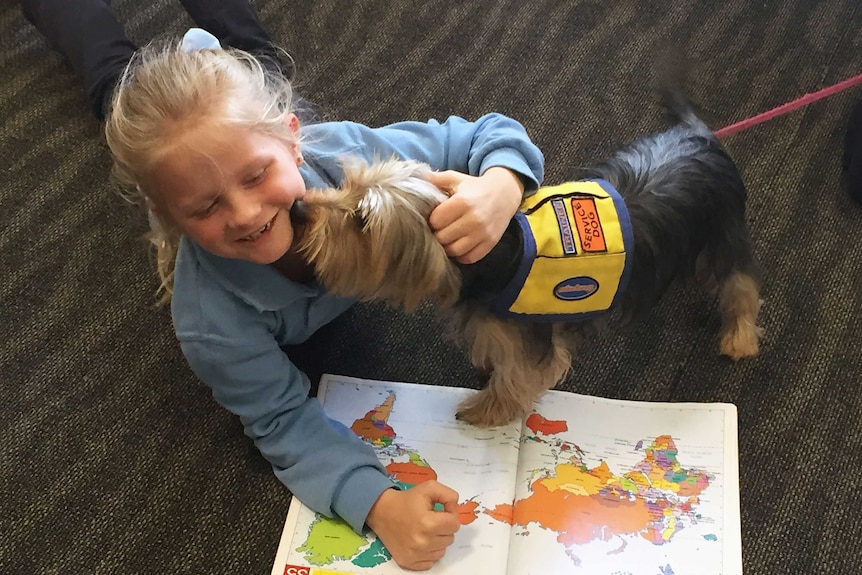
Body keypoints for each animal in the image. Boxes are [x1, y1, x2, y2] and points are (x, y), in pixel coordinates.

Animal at [292, 91, 764, 428]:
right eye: (346, 184)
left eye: (361, 220)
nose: (301, 208)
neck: (492, 253)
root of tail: (703, 137)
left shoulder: (530, 344)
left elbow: (518, 378)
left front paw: (486, 410)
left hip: (720, 238)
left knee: (741, 287)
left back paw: (739, 337)